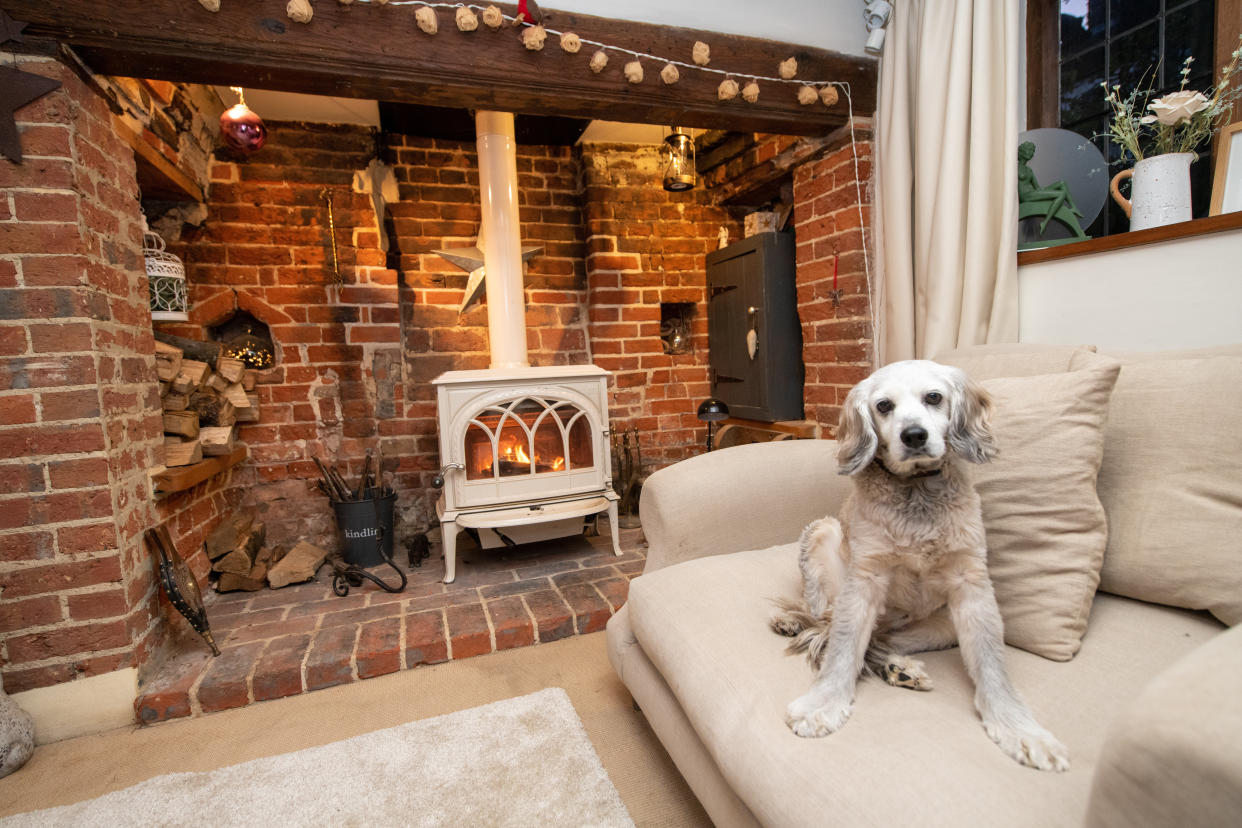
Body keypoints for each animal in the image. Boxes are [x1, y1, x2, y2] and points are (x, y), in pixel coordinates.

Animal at [765, 360, 1068, 774]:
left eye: (934, 397)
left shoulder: (972, 586)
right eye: (883, 406)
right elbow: (842, 650)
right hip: (823, 536)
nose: (913, 436)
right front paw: (823, 703)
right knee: (823, 621)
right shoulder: (864, 581)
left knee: (876, 640)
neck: (916, 493)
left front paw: (1018, 728)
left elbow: (992, 663)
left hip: (937, 627)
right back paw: (795, 622)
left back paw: (899, 669)